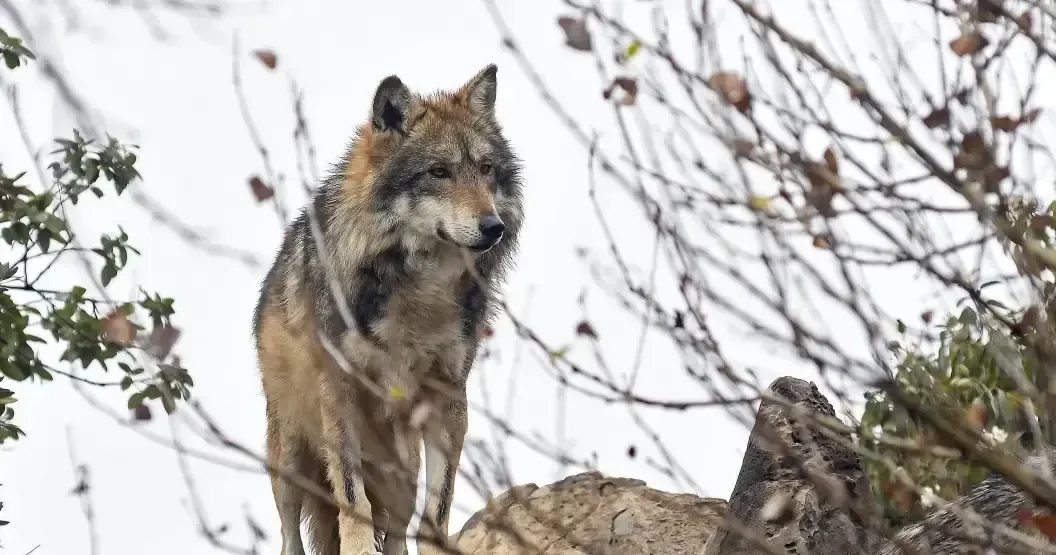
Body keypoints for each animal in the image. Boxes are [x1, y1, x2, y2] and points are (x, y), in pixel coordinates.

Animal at [252, 64, 524, 555]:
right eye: (439, 172)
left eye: (486, 169)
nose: (493, 226)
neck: (420, 289)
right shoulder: (339, 392)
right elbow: (352, 500)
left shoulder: (448, 398)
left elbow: (438, 508)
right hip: (292, 459)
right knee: (290, 534)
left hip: (401, 469)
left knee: (397, 529)